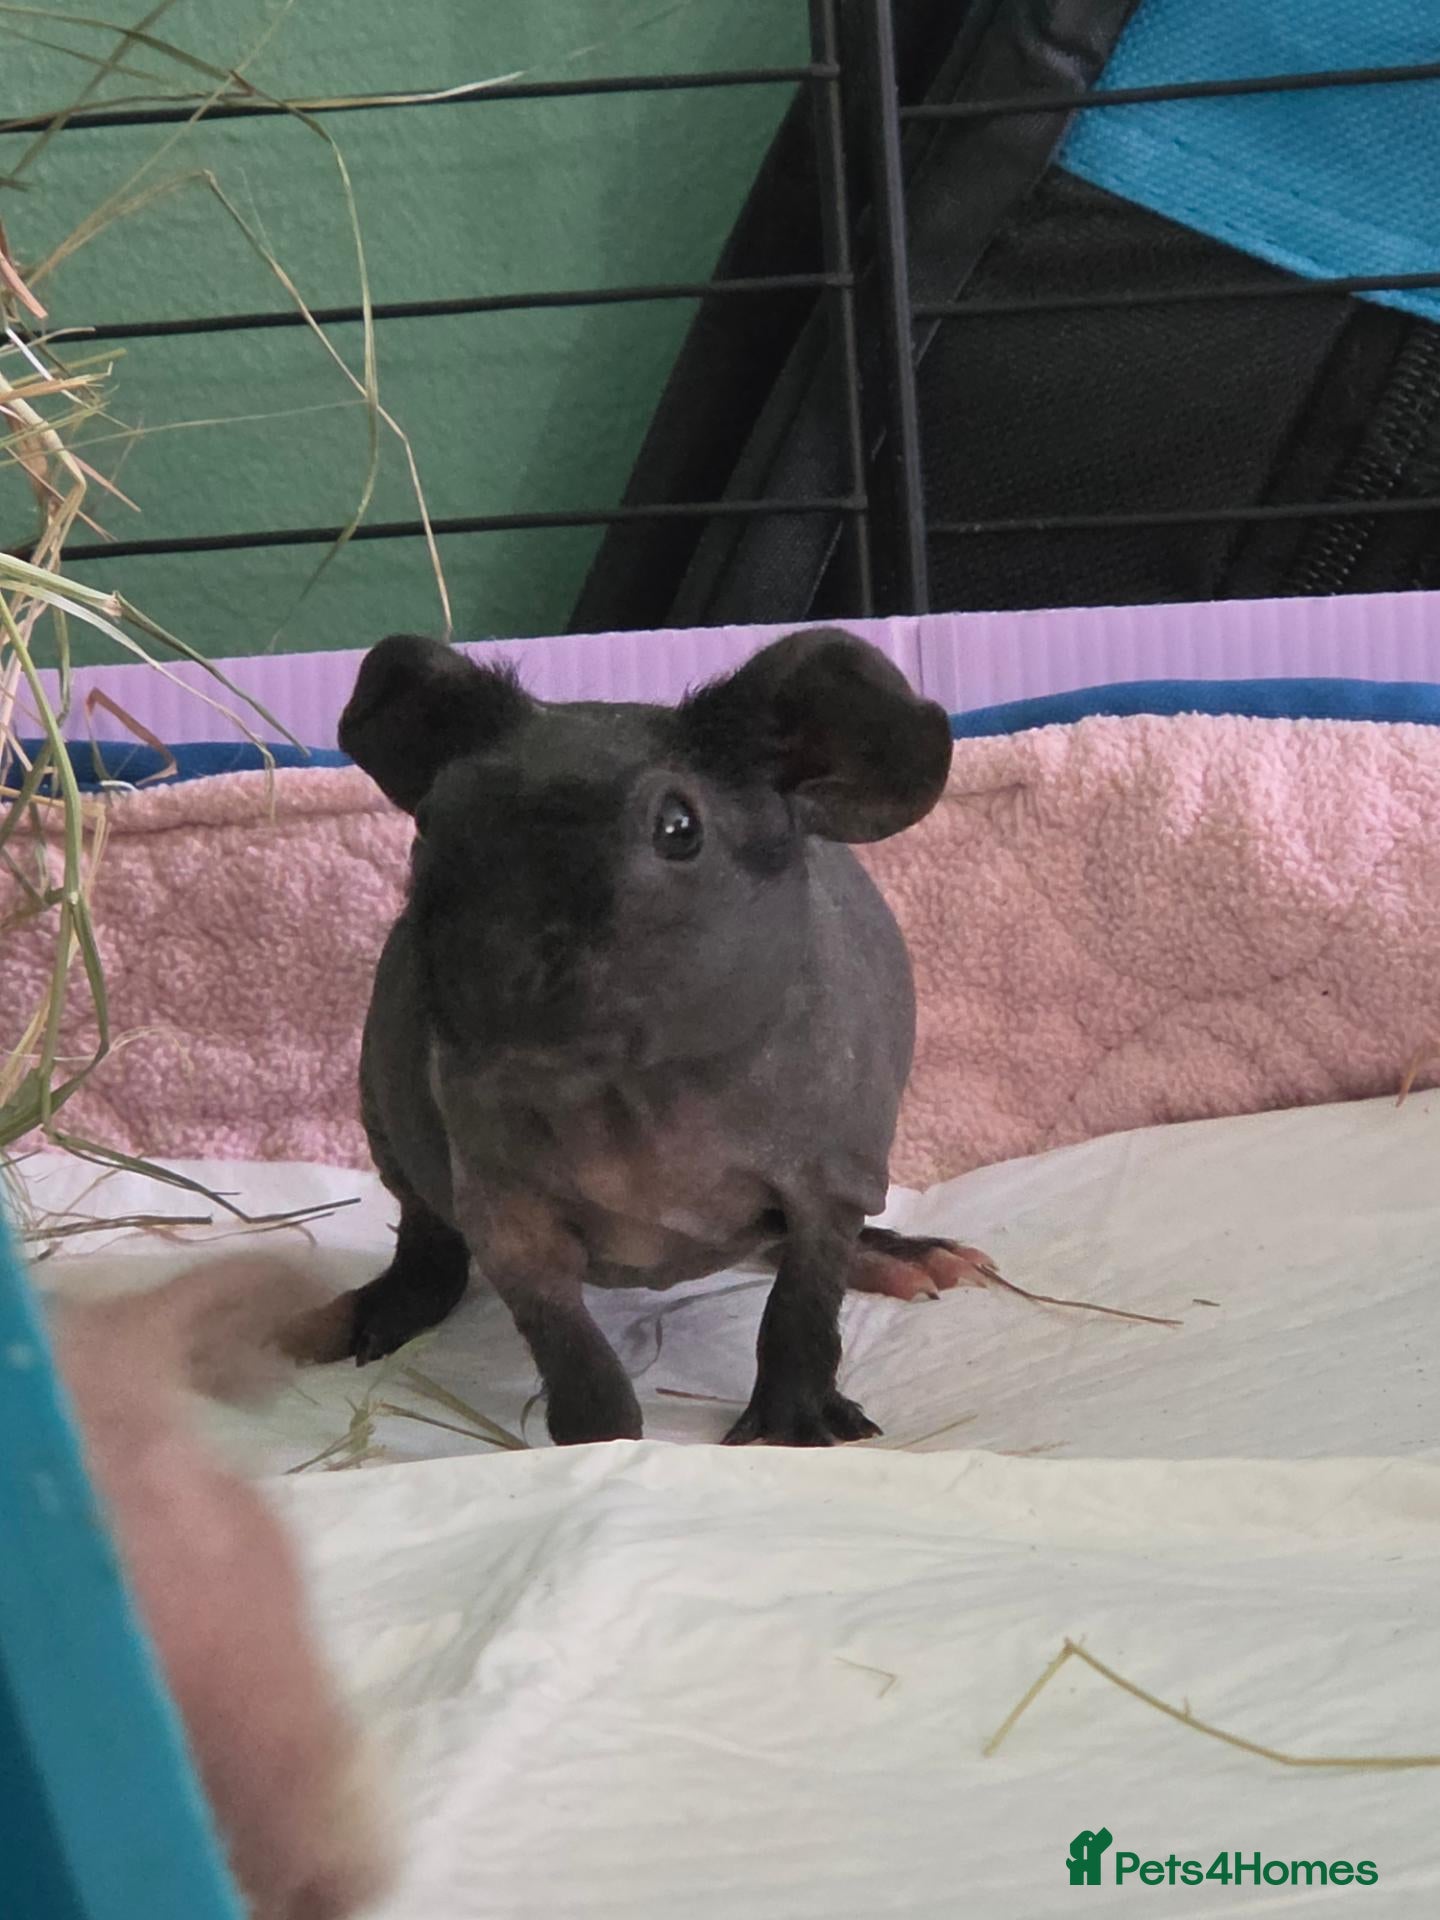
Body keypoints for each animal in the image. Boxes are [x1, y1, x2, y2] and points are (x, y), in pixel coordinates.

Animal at [298, 628, 996, 1446]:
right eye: (431, 821)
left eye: (678, 827)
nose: (495, 971)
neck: (630, 1105)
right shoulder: (507, 1219)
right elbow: (574, 1355)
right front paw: (598, 1450)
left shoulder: (827, 1183)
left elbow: (800, 1308)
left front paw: (800, 1428)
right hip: (383, 1125)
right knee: (425, 1242)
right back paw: (362, 1317)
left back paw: (921, 1259)